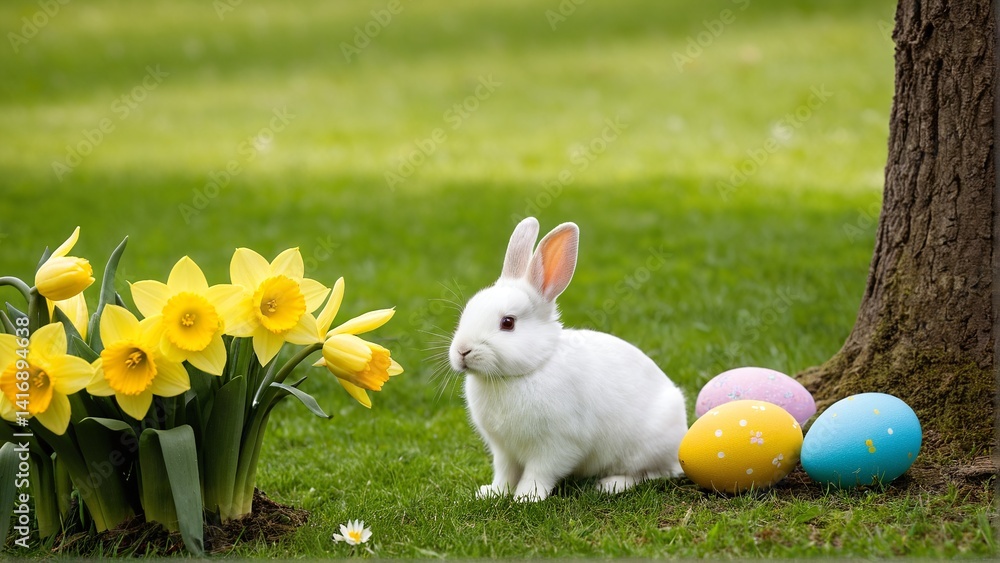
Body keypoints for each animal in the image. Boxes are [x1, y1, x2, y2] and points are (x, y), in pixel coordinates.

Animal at [449, 216, 688, 502]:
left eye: (508, 323)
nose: (462, 351)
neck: (529, 369)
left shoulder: (557, 445)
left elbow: (538, 473)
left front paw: (526, 498)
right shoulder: (503, 450)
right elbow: (505, 473)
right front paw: (491, 493)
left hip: (646, 449)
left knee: (654, 473)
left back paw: (611, 484)